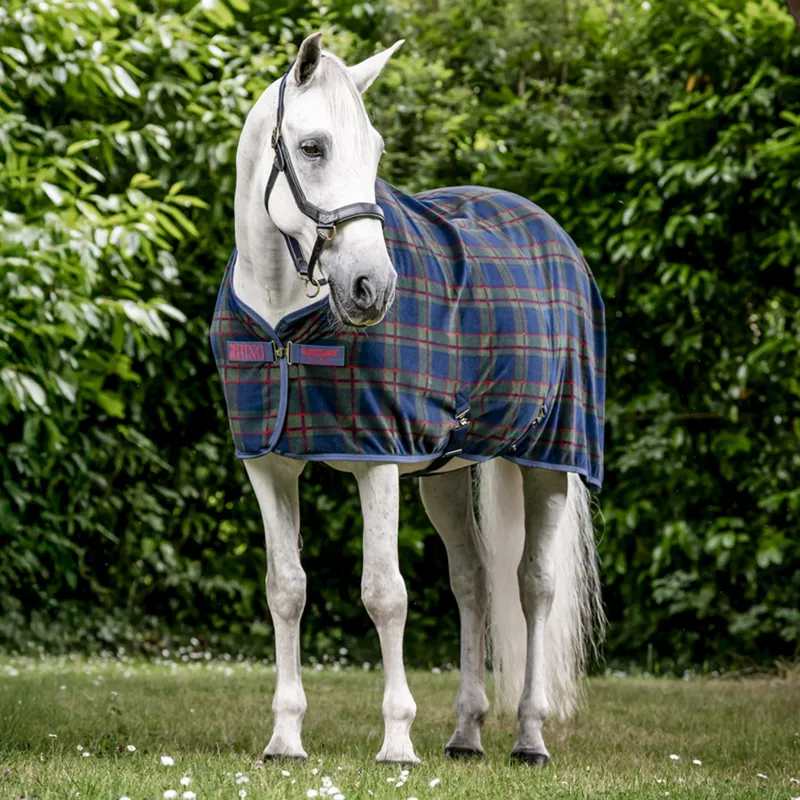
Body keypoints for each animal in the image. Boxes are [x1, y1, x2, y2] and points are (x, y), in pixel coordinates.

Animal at [211, 32, 606, 766]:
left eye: (375, 151)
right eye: (312, 146)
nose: (373, 287)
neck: (285, 320)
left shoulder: (378, 460)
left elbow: (385, 594)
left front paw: (396, 740)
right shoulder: (270, 464)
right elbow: (287, 590)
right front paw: (285, 737)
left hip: (549, 461)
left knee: (534, 586)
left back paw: (529, 736)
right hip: (444, 473)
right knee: (473, 580)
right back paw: (465, 733)